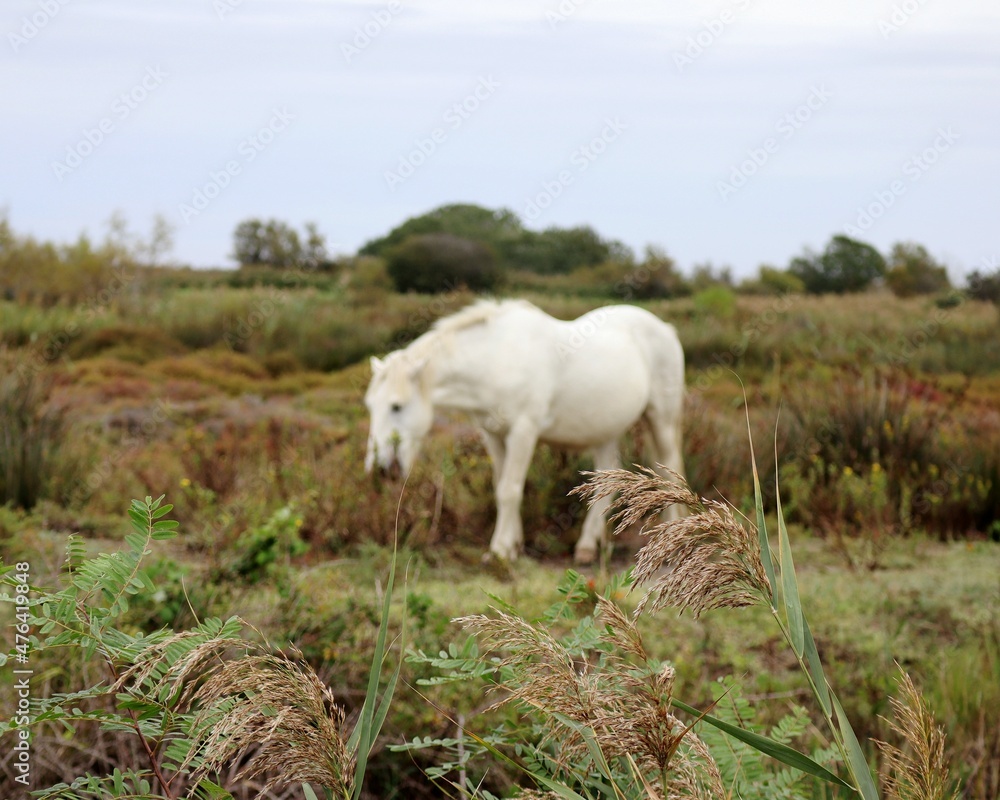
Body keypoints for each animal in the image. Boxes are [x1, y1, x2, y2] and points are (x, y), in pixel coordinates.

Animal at [364, 299, 685, 563]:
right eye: (370, 406)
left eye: (396, 406)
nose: (380, 470)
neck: (497, 360)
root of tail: (666, 329)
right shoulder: (493, 435)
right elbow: (500, 487)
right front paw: (513, 545)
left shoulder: (523, 432)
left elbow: (510, 489)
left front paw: (500, 551)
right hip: (605, 430)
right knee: (607, 478)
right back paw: (587, 546)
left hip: (662, 418)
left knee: (670, 471)